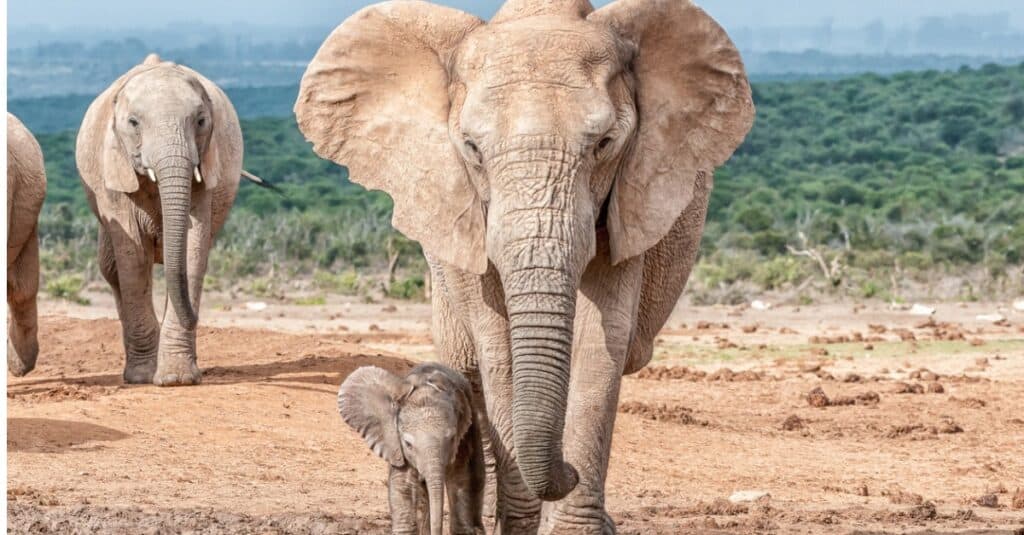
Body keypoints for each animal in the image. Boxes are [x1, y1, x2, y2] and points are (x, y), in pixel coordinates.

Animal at [333, 360, 481, 528]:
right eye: (408, 444)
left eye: (452, 439)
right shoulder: (395, 445)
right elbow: (404, 487)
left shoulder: (465, 436)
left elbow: (461, 480)